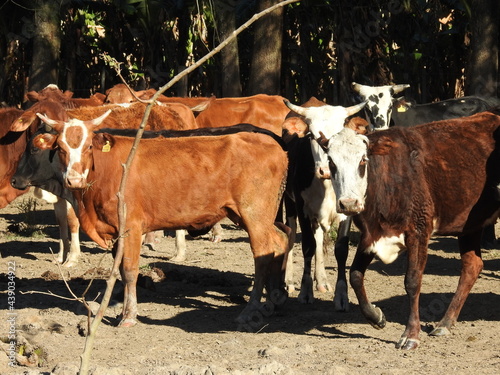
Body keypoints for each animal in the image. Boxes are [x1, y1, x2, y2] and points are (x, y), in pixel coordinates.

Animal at [29, 112, 292, 328]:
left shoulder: (132, 227)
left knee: (263, 252)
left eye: (89, 146)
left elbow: (130, 270)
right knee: (281, 240)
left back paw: (251, 308)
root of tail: (273, 144)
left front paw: (129, 316)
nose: (74, 180)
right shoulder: (117, 230)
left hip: (254, 214)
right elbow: (119, 270)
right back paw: (276, 297)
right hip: (251, 215)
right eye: (60, 147)